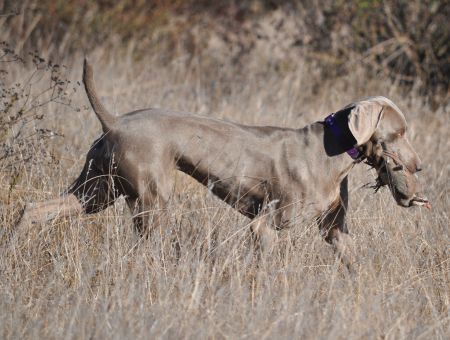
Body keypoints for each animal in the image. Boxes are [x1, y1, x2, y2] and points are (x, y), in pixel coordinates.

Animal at [17, 59, 430, 266]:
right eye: (399, 133)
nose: (419, 167)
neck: (333, 152)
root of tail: (115, 121)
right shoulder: (266, 225)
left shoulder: (335, 231)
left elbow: (352, 260)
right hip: (150, 202)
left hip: (96, 191)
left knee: (33, 209)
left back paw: (15, 243)